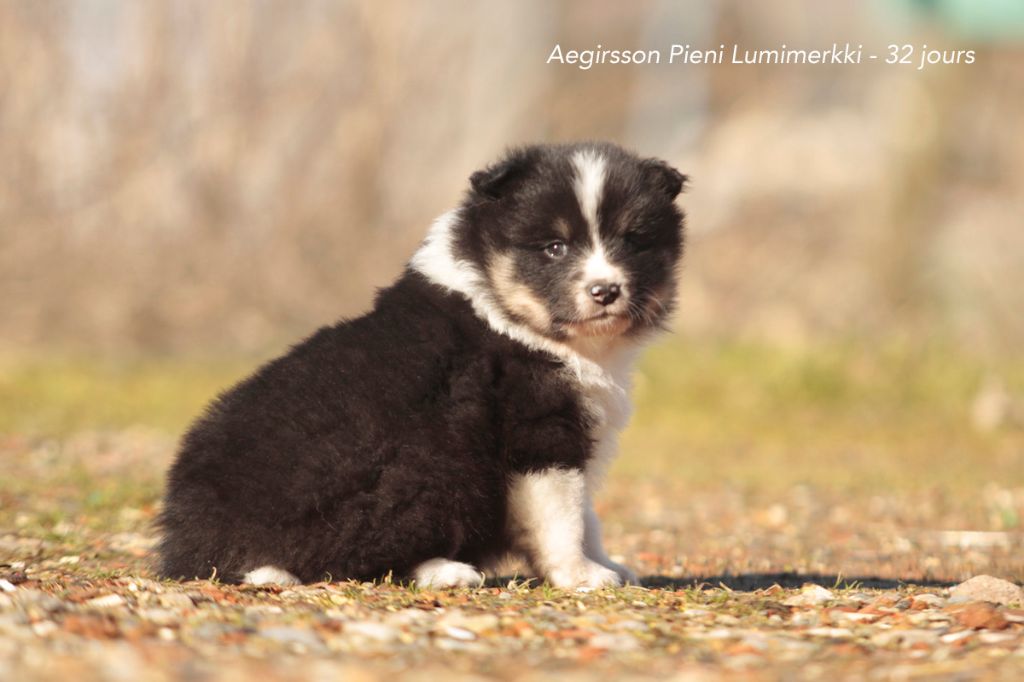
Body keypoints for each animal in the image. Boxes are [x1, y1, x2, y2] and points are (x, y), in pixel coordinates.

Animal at [157, 142, 686, 589]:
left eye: (632, 241)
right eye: (554, 247)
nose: (605, 290)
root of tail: (190, 545)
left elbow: (588, 514)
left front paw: (609, 565)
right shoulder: (539, 431)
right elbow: (564, 516)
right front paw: (581, 576)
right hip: (431, 454)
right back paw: (445, 570)